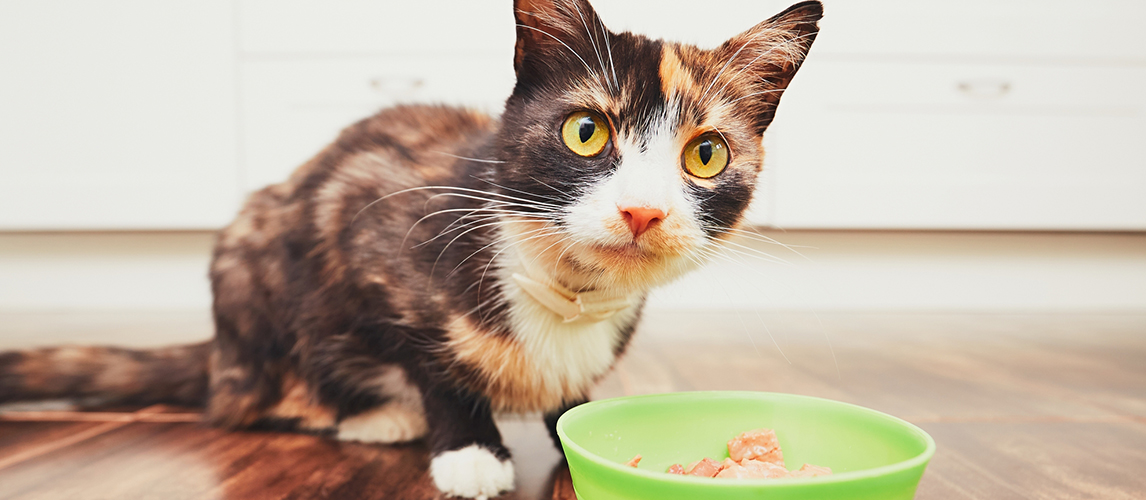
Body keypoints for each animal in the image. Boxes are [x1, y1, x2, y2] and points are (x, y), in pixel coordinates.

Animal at [0, 1, 825, 497]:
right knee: (245, 402)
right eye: (586, 132)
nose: (643, 210)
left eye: (707, 154)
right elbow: (433, 361)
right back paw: (370, 414)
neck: (566, 285)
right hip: (250, 261)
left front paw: (574, 422)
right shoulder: (373, 238)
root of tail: (219, 353)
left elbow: (571, 395)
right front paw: (470, 448)